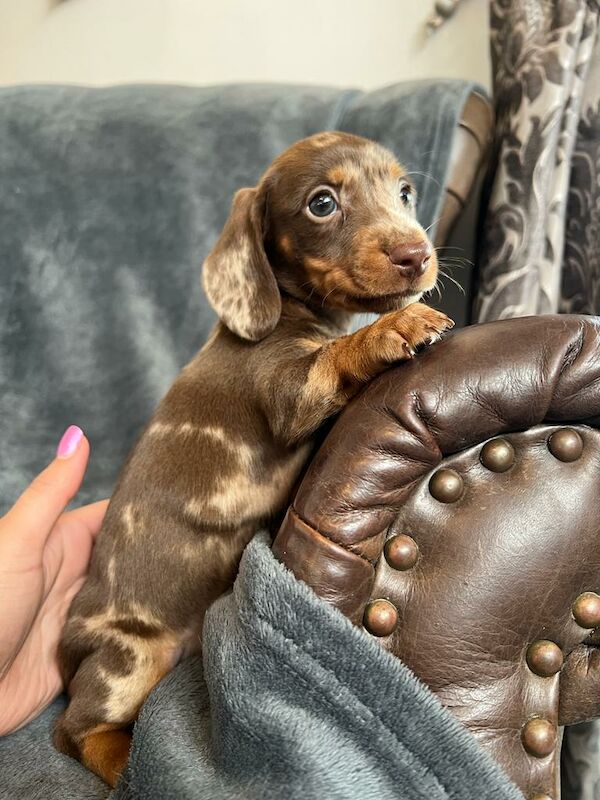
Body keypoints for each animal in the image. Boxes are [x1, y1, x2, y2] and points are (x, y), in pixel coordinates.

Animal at [54, 133, 452, 788]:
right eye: (322, 203)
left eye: (405, 192)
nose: (416, 255)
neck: (296, 312)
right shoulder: (288, 387)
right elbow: (335, 355)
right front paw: (395, 327)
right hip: (126, 657)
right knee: (75, 730)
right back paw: (126, 767)